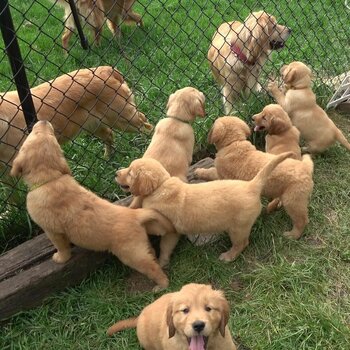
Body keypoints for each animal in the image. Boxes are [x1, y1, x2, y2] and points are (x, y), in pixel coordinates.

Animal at [10, 120, 174, 290]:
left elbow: (62, 246)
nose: (43, 121)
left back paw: (162, 285)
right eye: (49, 136)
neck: (50, 179)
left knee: (152, 268)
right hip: (141, 246)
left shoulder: (52, 231)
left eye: (34, 134)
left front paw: (60, 258)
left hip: (132, 254)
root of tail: (135, 214)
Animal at [116, 152, 292, 266]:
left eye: (130, 173)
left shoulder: (167, 229)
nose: (116, 172)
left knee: (242, 243)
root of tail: (251, 186)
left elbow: (163, 243)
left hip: (238, 228)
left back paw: (228, 256)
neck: (161, 186)